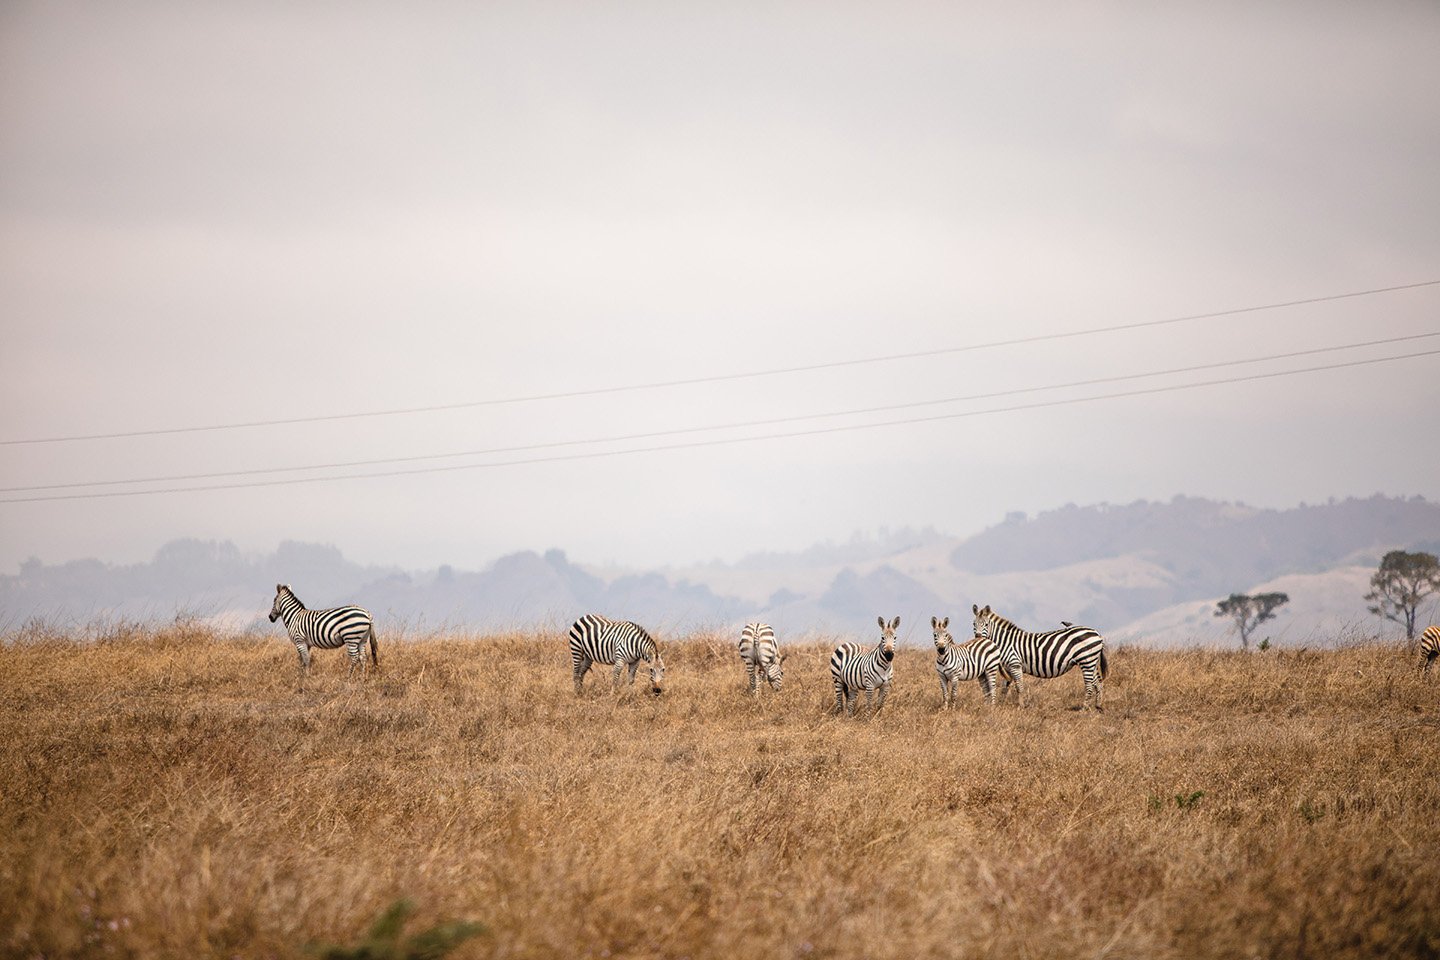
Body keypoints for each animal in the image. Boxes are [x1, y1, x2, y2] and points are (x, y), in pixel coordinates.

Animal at [973, 604, 1105, 711]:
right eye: (974, 624)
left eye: (986, 624)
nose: (978, 637)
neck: (1005, 641)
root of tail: (1097, 633)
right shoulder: (1008, 667)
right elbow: (1005, 687)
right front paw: (1000, 704)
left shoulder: (1015, 664)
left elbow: (1019, 686)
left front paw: (1021, 706)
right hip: (1090, 662)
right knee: (1097, 683)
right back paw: (1098, 706)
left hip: (1086, 661)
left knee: (1089, 685)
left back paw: (1084, 708)